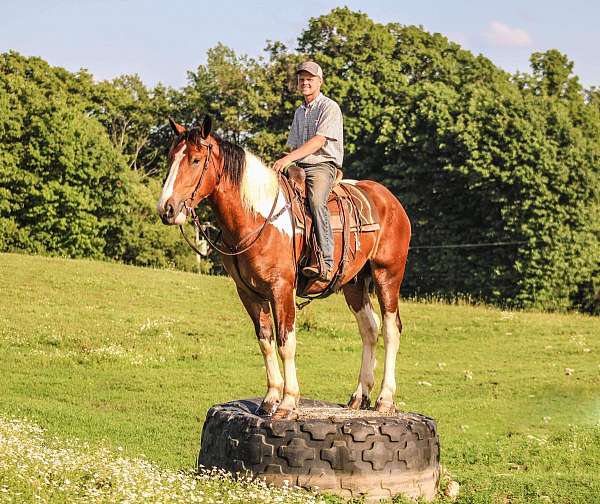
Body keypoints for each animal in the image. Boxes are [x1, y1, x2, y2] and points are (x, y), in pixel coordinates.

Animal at [157, 117, 410, 418]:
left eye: (196, 160)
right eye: (171, 157)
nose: (167, 209)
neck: (257, 218)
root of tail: (391, 201)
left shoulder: (281, 289)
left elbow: (285, 343)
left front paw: (288, 401)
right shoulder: (249, 293)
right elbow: (265, 341)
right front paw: (270, 399)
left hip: (387, 275)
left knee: (391, 330)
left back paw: (385, 398)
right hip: (354, 284)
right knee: (369, 329)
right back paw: (359, 396)